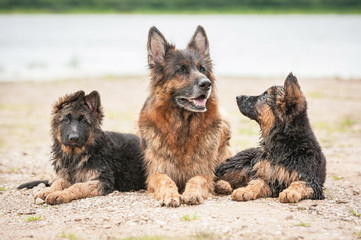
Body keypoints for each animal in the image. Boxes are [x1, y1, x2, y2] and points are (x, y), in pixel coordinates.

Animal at [136, 25, 232, 206]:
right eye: (181, 70)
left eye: (202, 69)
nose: (206, 84)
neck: (183, 126)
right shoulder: (156, 172)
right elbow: (165, 180)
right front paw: (170, 194)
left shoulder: (203, 171)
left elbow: (197, 180)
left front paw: (192, 192)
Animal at [215, 73, 324, 202]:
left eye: (263, 98)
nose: (237, 96)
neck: (283, 144)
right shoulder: (264, 175)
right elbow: (257, 183)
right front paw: (246, 190)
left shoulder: (311, 180)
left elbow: (300, 183)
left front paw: (290, 192)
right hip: (238, 164)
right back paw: (222, 185)